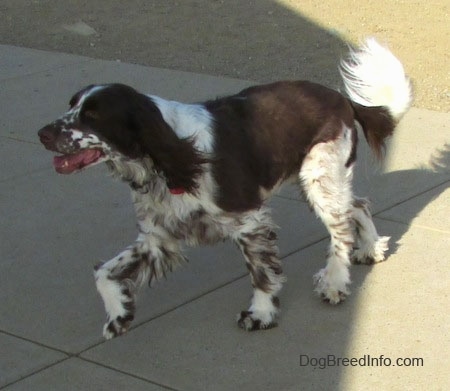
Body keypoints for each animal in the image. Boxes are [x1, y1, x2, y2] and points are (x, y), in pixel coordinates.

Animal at [37, 39, 412, 340]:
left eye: (93, 115)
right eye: (71, 105)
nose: (42, 133)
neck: (172, 155)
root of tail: (343, 100)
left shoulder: (249, 222)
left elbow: (262, 274)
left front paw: (260, 314)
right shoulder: (158, 238)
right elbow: (104, 272)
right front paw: (118, 314)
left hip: (320, 178)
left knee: (339, 229)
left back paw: (335, 281)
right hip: (321, 181)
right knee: (358, 205)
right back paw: (369, 249)